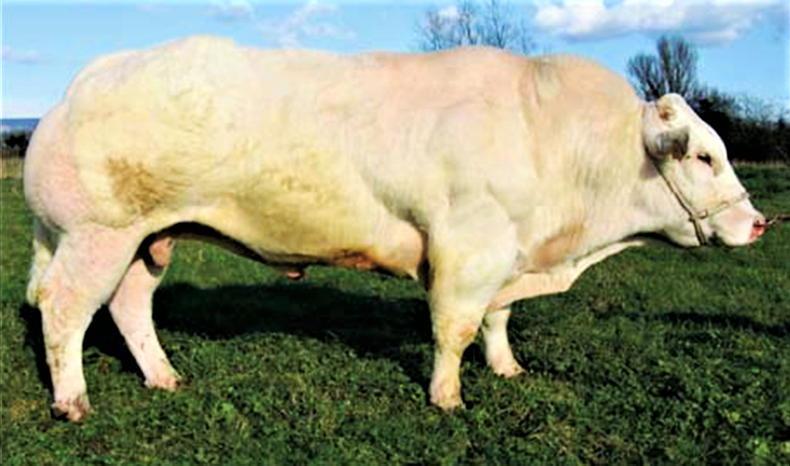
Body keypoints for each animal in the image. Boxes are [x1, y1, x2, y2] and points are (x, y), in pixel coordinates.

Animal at [23, 36, 766, 422]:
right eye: (704, 156)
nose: (758, 222)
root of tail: (90, 76)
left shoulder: (505, 255)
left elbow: (496, 321)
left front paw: (506, 368)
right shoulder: (468, 250)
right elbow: (455, 329)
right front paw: (448, 398)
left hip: (147, 241)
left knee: (128, 308)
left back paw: (164, 378)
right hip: (98, 234)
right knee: (64, 309)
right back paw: (72, 400)